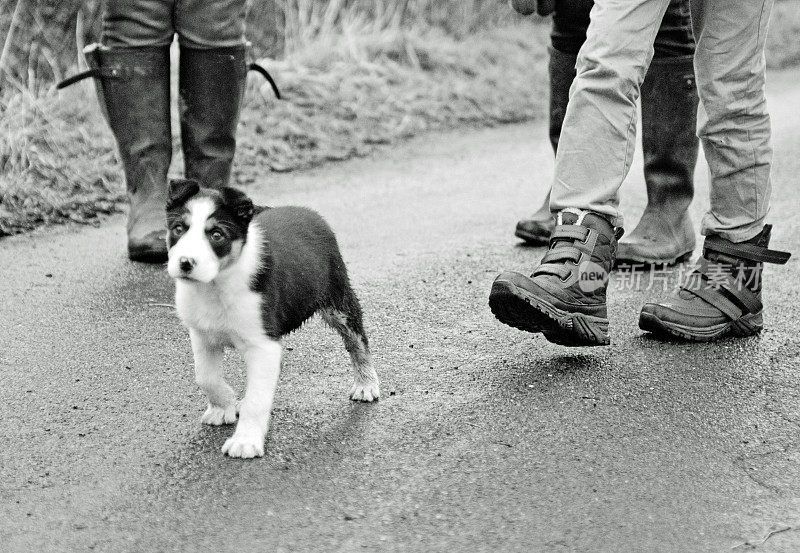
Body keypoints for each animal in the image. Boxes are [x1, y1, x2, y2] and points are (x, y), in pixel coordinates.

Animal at [164, 178, 380, 458]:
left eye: (216, 235)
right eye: (178, 229)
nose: (185, 263)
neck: (215, 286)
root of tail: (307, 212)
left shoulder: (262, 345)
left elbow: (256, 400)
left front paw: (245, 441)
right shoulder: (202, 335)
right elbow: (205, 377)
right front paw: (224, 407)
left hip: (338, 297)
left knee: (357, 340)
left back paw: (366, 384)